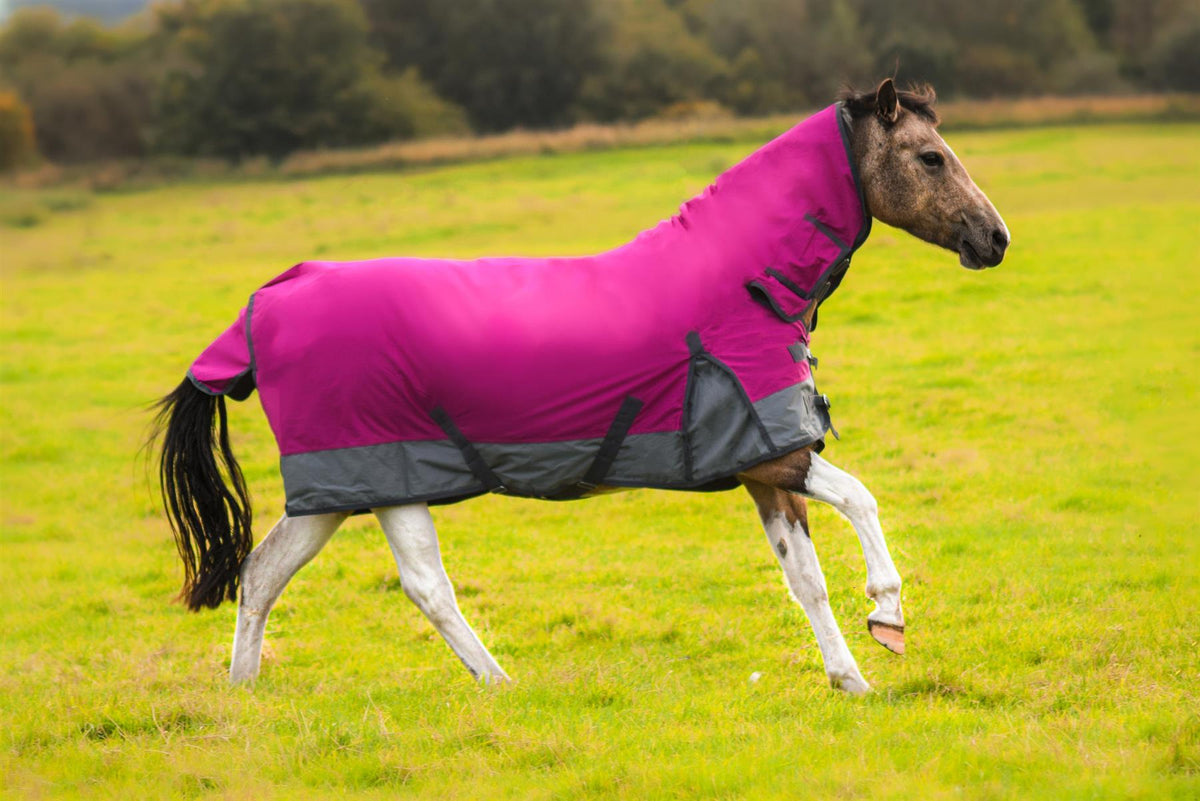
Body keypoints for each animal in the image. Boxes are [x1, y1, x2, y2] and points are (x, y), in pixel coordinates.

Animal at [154, 79, 1008, 694]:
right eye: (931, 157)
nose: (994, 238)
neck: (741, 285)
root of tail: (265, 307)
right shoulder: (779, 452)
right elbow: (863, 498)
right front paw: (888, 614)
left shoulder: (762, 468)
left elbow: (806, 580)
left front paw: (849, 678)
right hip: (385, 475)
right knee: (425, 585)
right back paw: (499, 681)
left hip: (345, 485)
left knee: (263, 574)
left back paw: (244, 692)